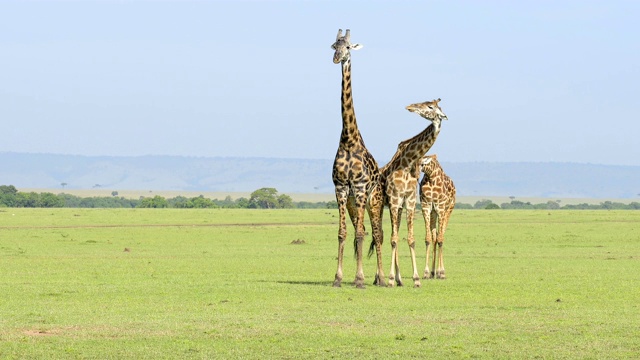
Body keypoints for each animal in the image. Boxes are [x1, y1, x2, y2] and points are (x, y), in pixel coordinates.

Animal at [378, 98, 448, 286]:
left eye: (430, 106)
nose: (410, 106)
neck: (407, 162)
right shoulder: (394, 200)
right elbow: (394, 239)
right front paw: (390, 280)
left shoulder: (408, 201)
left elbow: (409, 239)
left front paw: (415, 279)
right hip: (375, 204)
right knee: (376, 235)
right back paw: (379, 278)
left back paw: (399, 279)